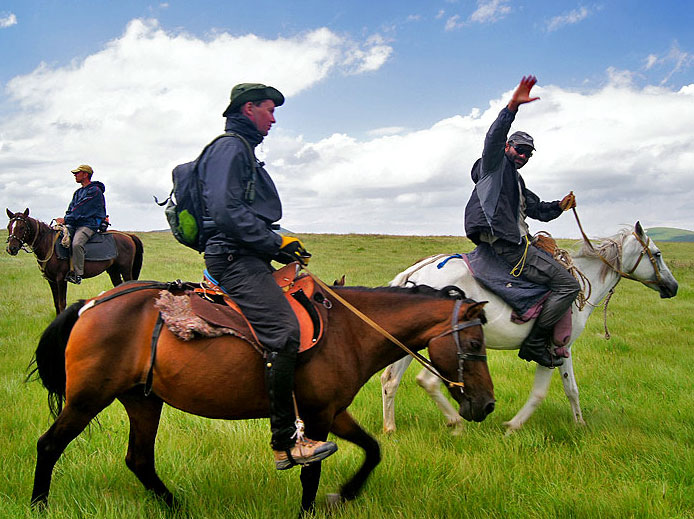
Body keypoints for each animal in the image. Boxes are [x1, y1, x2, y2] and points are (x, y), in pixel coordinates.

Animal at [5, 206, 144, 312]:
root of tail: (129, 236)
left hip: (125, 270)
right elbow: (56, 303)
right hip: (113, 271)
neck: (48, 244)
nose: (11, 248)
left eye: (22, 227)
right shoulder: (51, 280)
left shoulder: (61, 279)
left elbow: (62, 303)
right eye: (8, 226)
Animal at [31, 280, 494, 512]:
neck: (349, 331)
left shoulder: (331, 410)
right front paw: (313, 507)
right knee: (50, 445)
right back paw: (39, 505)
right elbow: (311, 474)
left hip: (143, 399)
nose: (487, 405)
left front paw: (344, 495)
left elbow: (373, 449)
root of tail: (91, 303)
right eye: (474, 345)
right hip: (88, 398)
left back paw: (177, 507)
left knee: (139, 460)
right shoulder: (318, 415)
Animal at [380, 223, 680, 434]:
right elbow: (540, 393)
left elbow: (571, 389)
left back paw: (391, 428)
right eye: (657, 254)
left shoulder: (564, 351)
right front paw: (513, 426)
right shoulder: (556, 348)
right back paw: (455, 422)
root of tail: (416, 272)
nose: (673, 287)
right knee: (426, 381)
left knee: (391, 380)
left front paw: (580, 425)